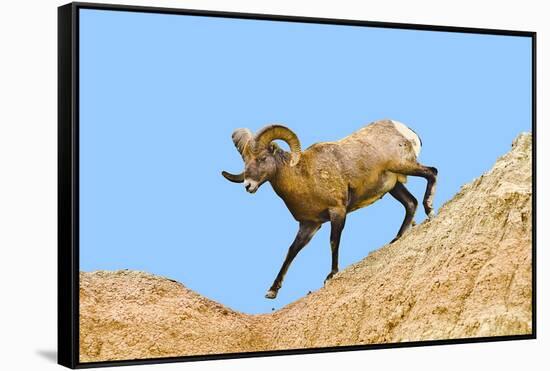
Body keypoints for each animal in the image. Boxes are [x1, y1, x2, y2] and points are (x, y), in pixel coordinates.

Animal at [222, 120, 438, 300]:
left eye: (263, 158)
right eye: (245, 160)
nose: (248, 185)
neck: (303, 176)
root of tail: (405, 130)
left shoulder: (337, 212)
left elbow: (334, 242)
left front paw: (331, 275)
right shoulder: (309, 225)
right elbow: (292, 251)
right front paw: (272, 290)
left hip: (405, 166)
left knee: (432, 173)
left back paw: (430, 210)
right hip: (394, 185)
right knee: (410, 203)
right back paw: (397, 238)